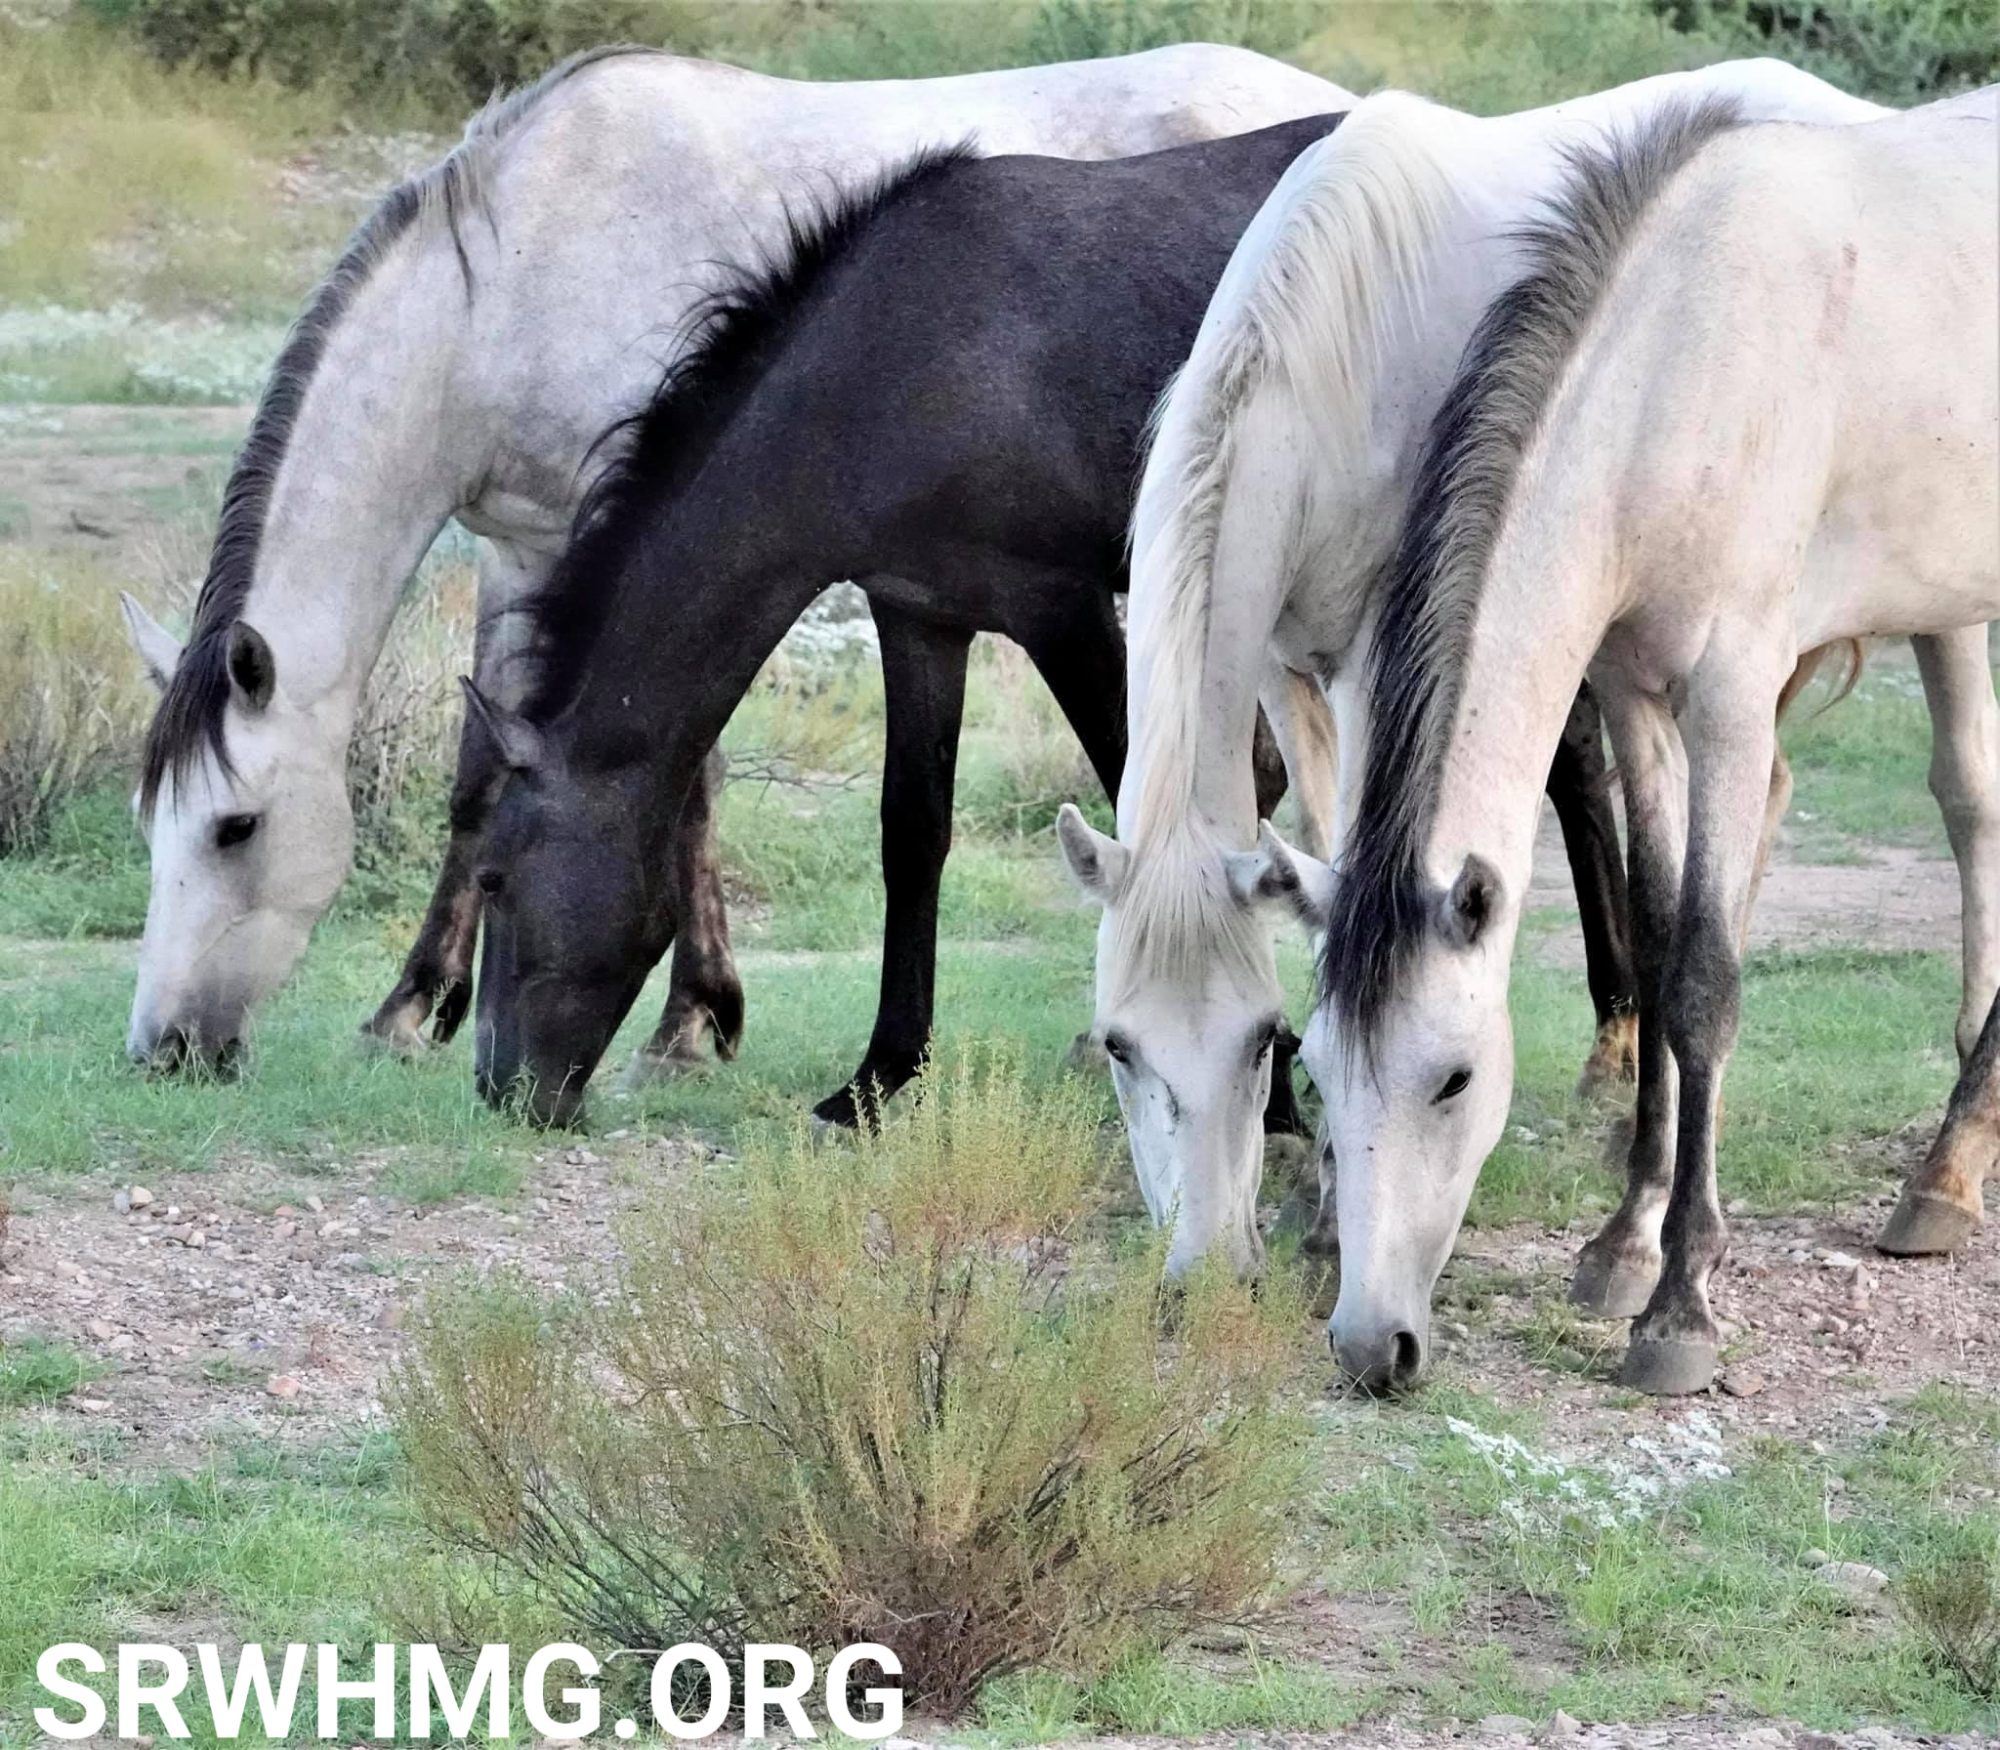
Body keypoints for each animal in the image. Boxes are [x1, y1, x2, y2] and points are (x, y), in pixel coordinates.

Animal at [120, 41, 1351, 1077]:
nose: (163, 1045)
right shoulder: (527, 550)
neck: (516, 270)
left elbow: (692, 792)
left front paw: (689, 1021)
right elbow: (481, 780)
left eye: (236, 826)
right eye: (150, 824)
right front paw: (414, 1006)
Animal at [1053, 61, 1887, 1277]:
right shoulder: (1281, 668)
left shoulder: (1379, 670)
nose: (1210, 1266)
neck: (1334, 346)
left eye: (1262, 1041)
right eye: (1120, 1045)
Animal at [1308, 87, 1996, 1395]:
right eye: (1313, 1072)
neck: (1679, 367)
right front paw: (1623, 1243)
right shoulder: (1635, 700)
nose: (1372, 1346)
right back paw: (1951, 1164)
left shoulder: (1727, 696)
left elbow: (1701, 980)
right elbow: (1659, 923)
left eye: (1452, 1078)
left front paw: (1678, 1306)